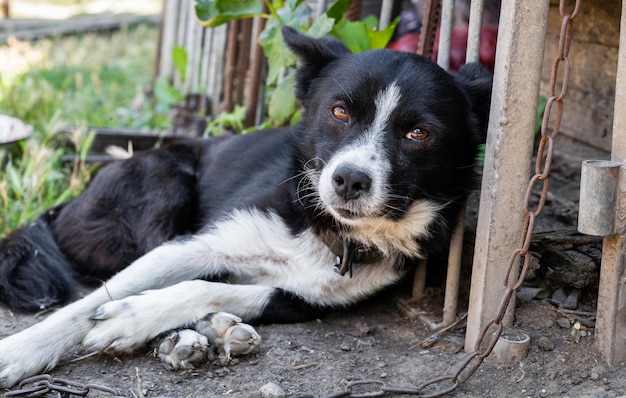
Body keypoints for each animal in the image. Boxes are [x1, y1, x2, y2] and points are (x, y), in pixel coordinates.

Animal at [0, 27, 490, 386]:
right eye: (339, 112)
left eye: (419, 133)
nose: (350, 180)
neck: (320, 227)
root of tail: (68, 206)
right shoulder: (192, 244)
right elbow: (90, 303)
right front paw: (20, 352)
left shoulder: (305, 300)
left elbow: (208, 287)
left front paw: (140, 316)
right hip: (163, 181)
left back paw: (201, 332)